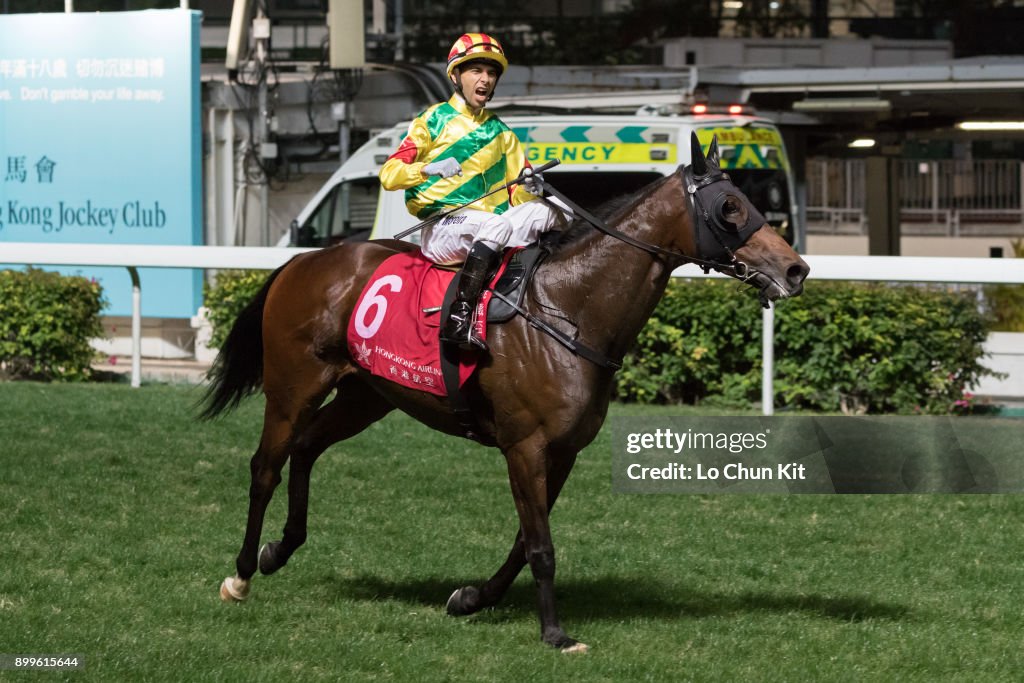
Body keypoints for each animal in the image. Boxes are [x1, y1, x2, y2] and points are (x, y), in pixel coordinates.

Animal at [199, 133, 806, 651]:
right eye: (730, 207)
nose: (796, 269)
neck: (568, 308)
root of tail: (302, 260)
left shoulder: (562, 451)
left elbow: (523, 540)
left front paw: (471, 598)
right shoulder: (525, 445)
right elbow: (540, 545)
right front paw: (555, 633)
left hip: (365, 396)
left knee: (306, 449)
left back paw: (280, 550)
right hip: (293, 388)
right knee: (266, 467)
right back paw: (243, 573)